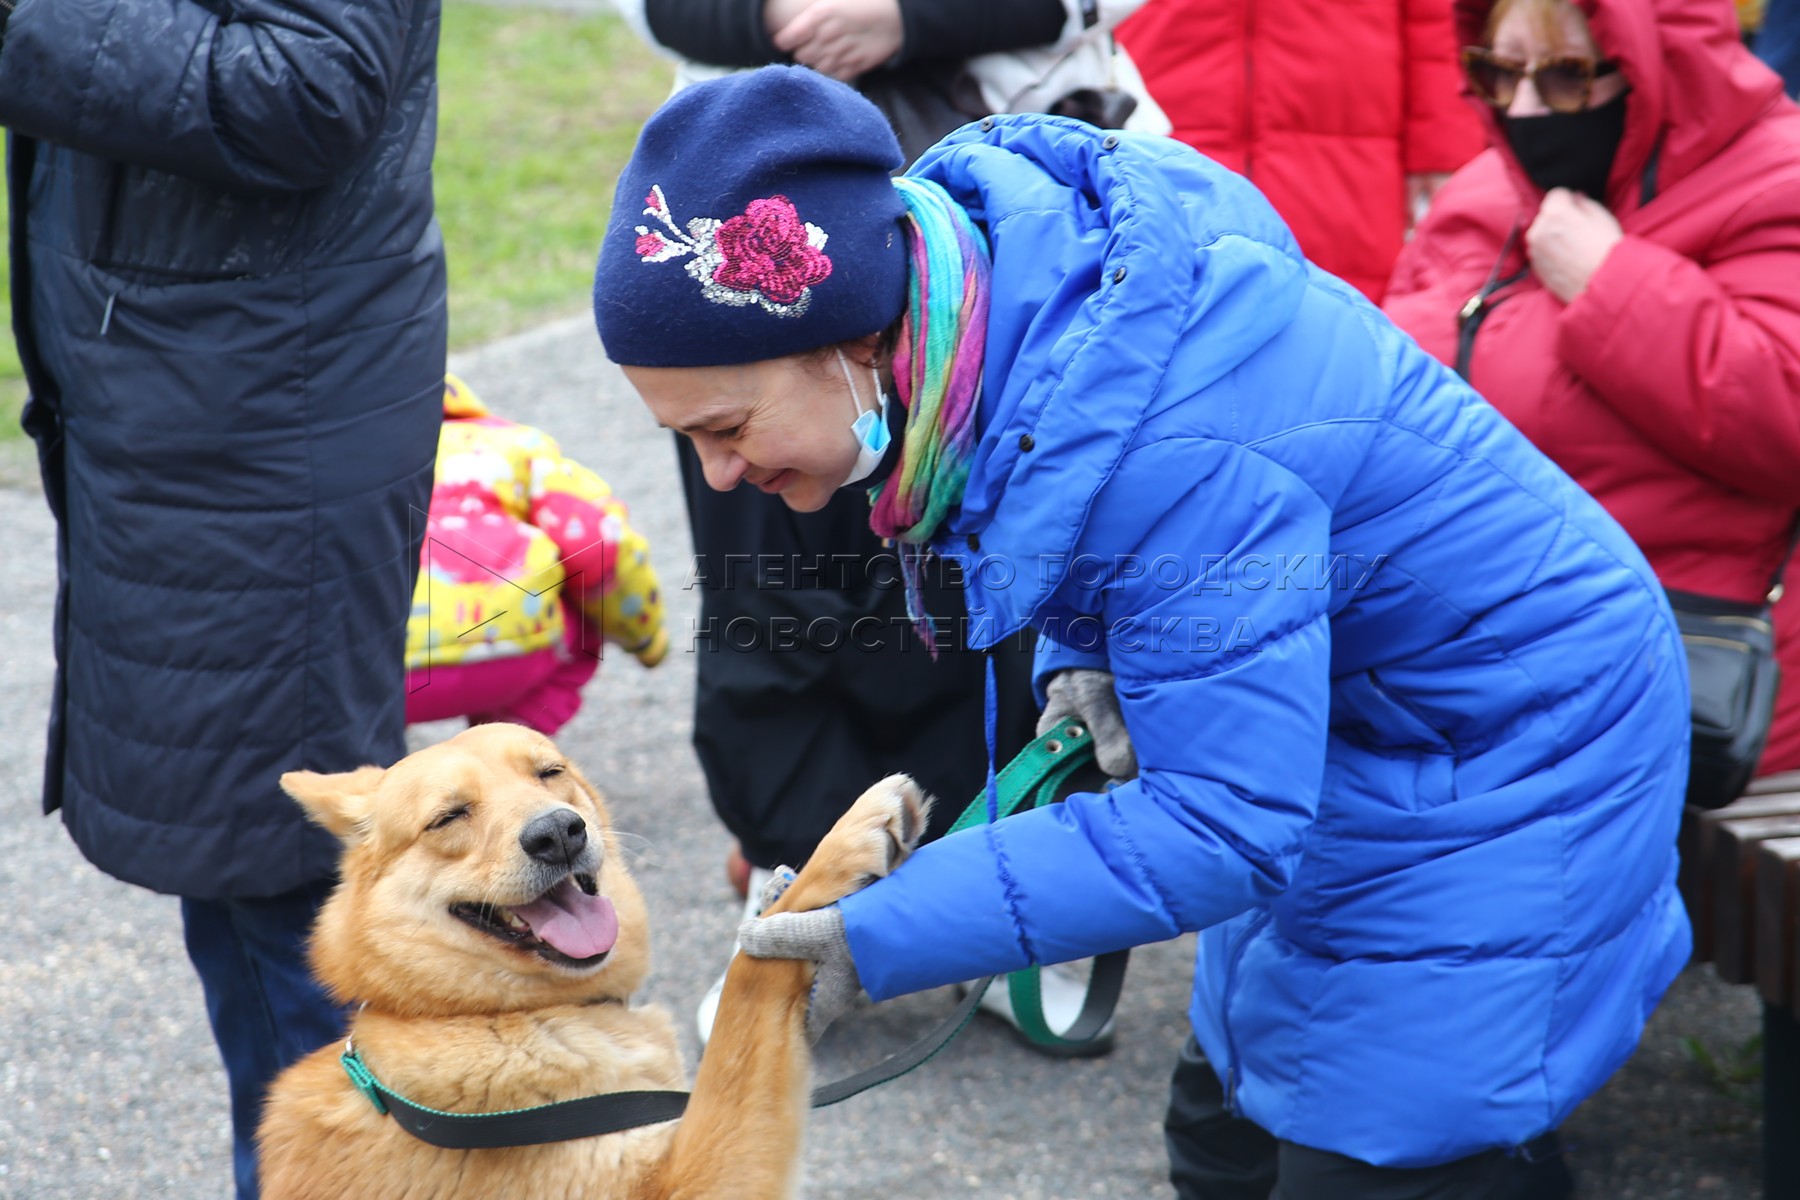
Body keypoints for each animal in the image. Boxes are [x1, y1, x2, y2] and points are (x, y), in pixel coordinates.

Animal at [255, 723, 928, 1200]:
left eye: (549, 772)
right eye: (448, 816)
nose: (558, 833)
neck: (469, 1015)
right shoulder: (687, 1184)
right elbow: (748, 985)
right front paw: (843, 844)